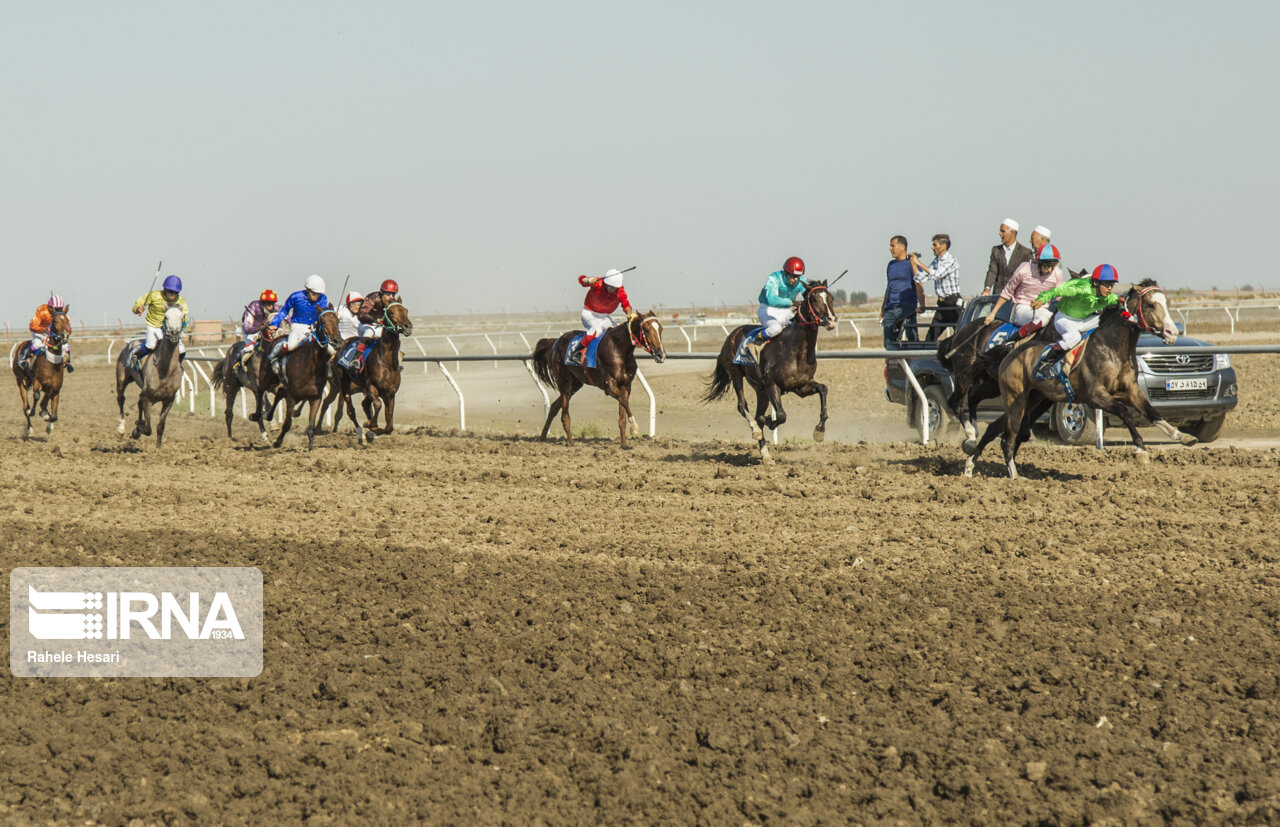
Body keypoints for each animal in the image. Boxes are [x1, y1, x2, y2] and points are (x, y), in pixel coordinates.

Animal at [12, 311, 72, 440]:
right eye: (55, 321)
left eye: (67, 321)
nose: (64, 336)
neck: (52, 364)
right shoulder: (37, 382)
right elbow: (36, 397)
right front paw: (36, 413)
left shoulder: (55, 389)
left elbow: (53, 414)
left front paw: (48, 423)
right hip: (20, 380)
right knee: (26, 407)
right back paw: (29, 428)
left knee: (43, 402)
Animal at [263, 311, 340, 453]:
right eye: (324, 322)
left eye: (338, 321)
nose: (337, 341)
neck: (311, 367)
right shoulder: (292, 397)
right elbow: (287, 423)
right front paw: (277, 442)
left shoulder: (315, 398)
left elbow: (311, 427)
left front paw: (310, 450)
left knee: (279, 394)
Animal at [322, 303, 412, 448]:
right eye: (391, 312)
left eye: (406, 311)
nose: (407, 326)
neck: (385, 361)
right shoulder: (371, 387)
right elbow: (377, 405)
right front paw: (369, 425)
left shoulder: (390, 394)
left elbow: (389, 425)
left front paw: (373, 430)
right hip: (343, 385)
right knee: (350, 410)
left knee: (363, 405)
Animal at [532, 314, 670, 450]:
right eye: (646, 330)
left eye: (661, 329)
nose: (661, 355)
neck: (620, 349)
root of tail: (556, 341)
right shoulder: (609, 385)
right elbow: (624, 402)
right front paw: (634, 427)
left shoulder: (625, 385)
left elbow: (622, 413)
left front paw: (624, 444)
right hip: (565, 382)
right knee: (565, 415)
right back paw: (571, 443)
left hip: (576, 384)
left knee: (554, 406)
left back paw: (543, 437)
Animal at [701, 282, 839, 465]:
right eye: (815, 299)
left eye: (831, 298)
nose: (831, 321)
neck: (796, 349)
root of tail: (732, 334)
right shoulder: (773, 385)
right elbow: (780, 415)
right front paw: (768, 421)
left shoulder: (801, 386)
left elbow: (823, 389)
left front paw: (819, 430)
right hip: (736, 373)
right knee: (742, 406)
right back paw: (755, 429)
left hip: (760, 389)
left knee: (757, 412)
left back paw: (766, 455)